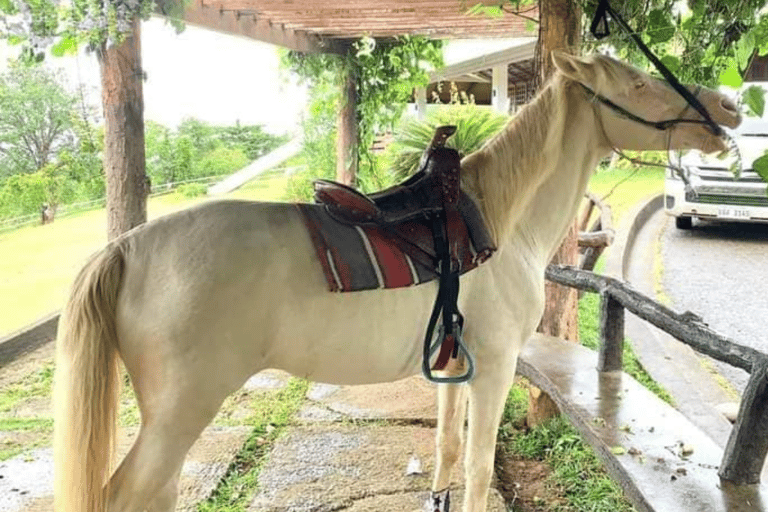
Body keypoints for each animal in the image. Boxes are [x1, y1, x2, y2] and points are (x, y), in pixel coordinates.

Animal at [52, 53, 736, 512]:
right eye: (640, 81)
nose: (728, 107)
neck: (501, 219)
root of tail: (124, 248)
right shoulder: (494, 368)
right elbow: (479, 468)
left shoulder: (454, 364)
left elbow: (448, 453)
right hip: (180, 413)